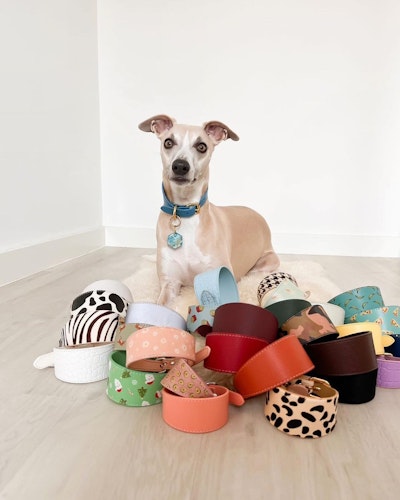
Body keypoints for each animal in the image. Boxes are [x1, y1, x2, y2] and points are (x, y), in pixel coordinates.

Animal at [139, 114, 280, 306]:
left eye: (201, 146)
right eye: (168, 142)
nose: (180, 166)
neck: (186, 212)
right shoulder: (170, 283)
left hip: (267, 262)